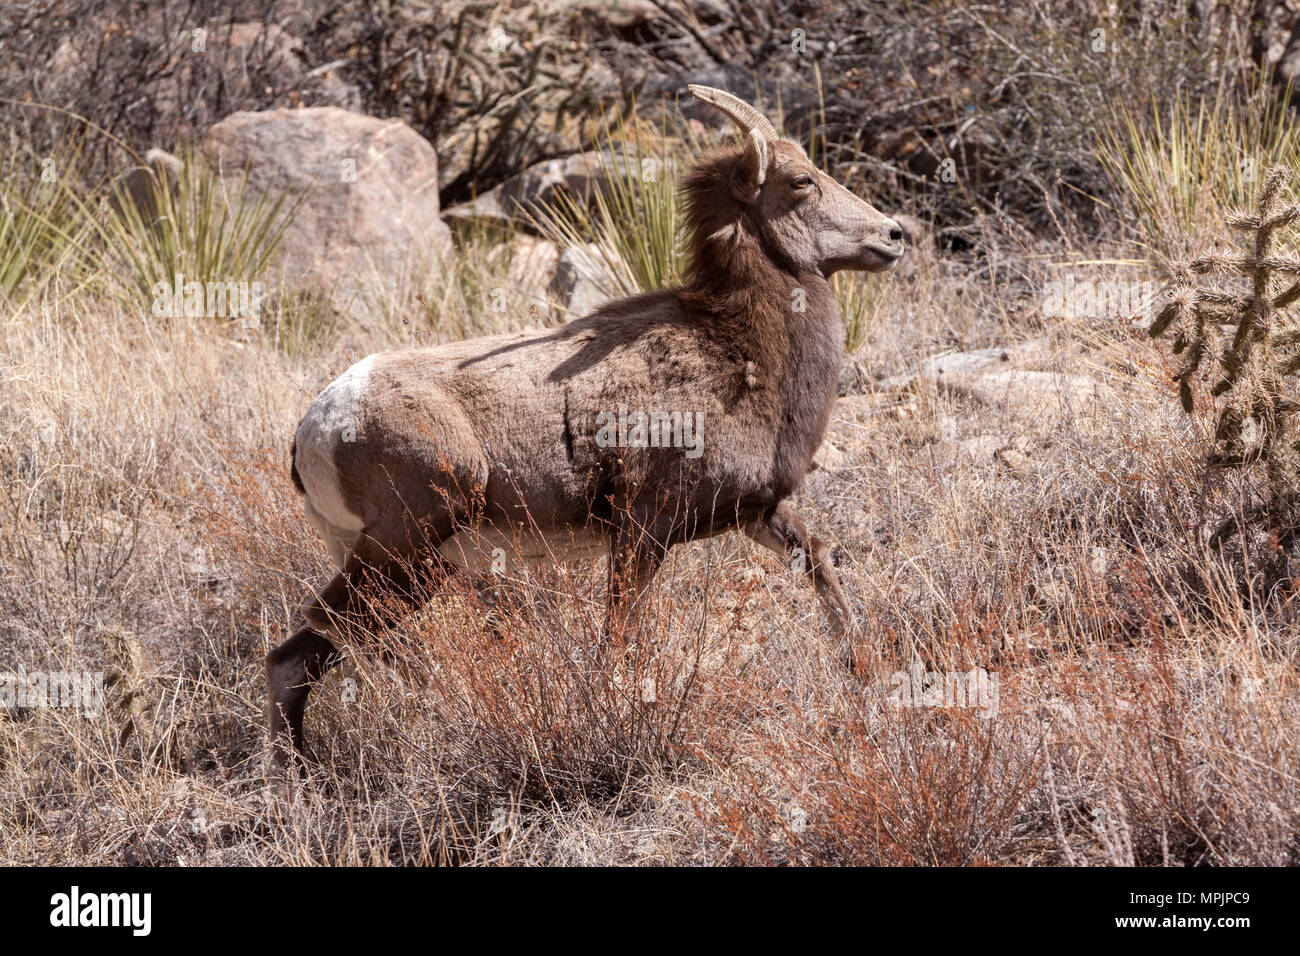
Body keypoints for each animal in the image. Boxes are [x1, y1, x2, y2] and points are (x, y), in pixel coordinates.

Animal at [269, 83, 899, 770]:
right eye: (800, 181)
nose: (893, 235)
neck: (741, 355)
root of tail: (314, 429)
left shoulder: (759, 515)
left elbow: (821, 565)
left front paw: (865, 676)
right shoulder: (641, 534)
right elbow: (617, 642)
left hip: (407, 567)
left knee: (312, 653)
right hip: (401, 555)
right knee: (298, 650)